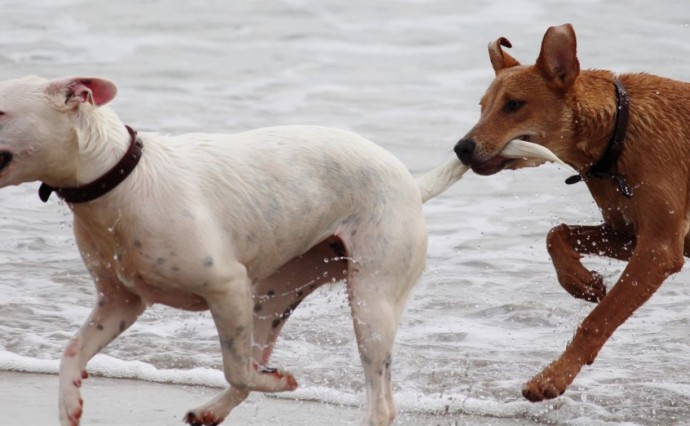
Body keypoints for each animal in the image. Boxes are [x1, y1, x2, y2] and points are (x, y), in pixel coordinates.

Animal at [0, 76, 560, 426]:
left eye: (1, 109)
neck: (120, 175)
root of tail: (409, 182)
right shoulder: (120, 303)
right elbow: (71, 353)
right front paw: (69, 404)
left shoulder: (225, 286)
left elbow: (236, 366)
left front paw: (281, 382)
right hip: (273, 295)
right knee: (256, 358)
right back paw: (212, 410)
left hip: (370, 301)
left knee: (378, 399)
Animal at [452, 23, 688, 402]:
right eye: (482, 107)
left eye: (514, 105)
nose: (461, 148)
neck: (619, 133)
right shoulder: (628, 234)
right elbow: (556, 233)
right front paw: (582, 282)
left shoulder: (660, 249)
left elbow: (598, 320)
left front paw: (552, 377)